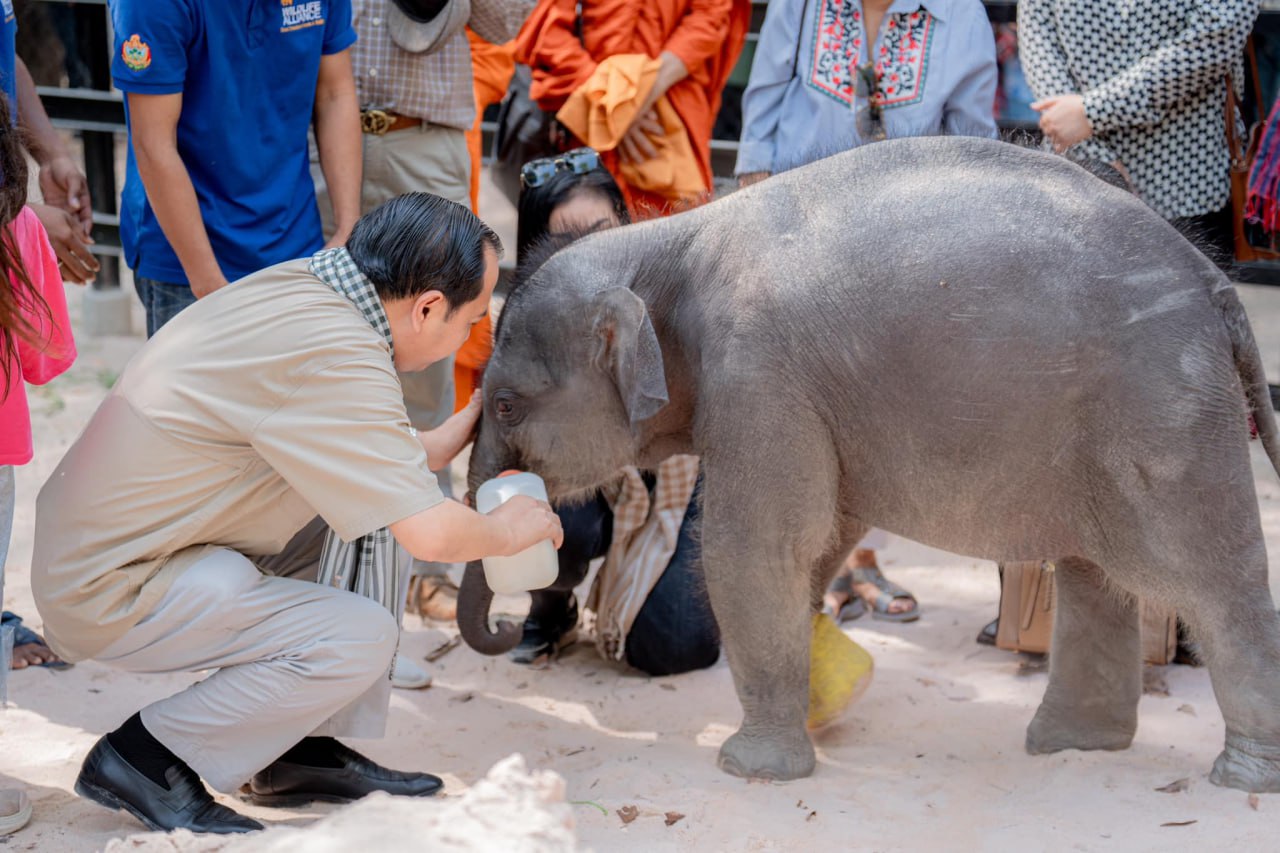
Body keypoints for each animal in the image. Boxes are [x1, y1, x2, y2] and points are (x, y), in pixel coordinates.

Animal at [458, 134, 1280, 788]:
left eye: (506, 405)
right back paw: (1073, 748)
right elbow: (823, 536)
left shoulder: (759, 376)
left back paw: (1240, 777)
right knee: (1094, 575)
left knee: (1209, 579)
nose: (506, 633)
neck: (670, 238)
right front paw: (820, 680)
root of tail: (1214, 283)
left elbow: (755, 550)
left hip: (1164, 410)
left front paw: (750, 769)